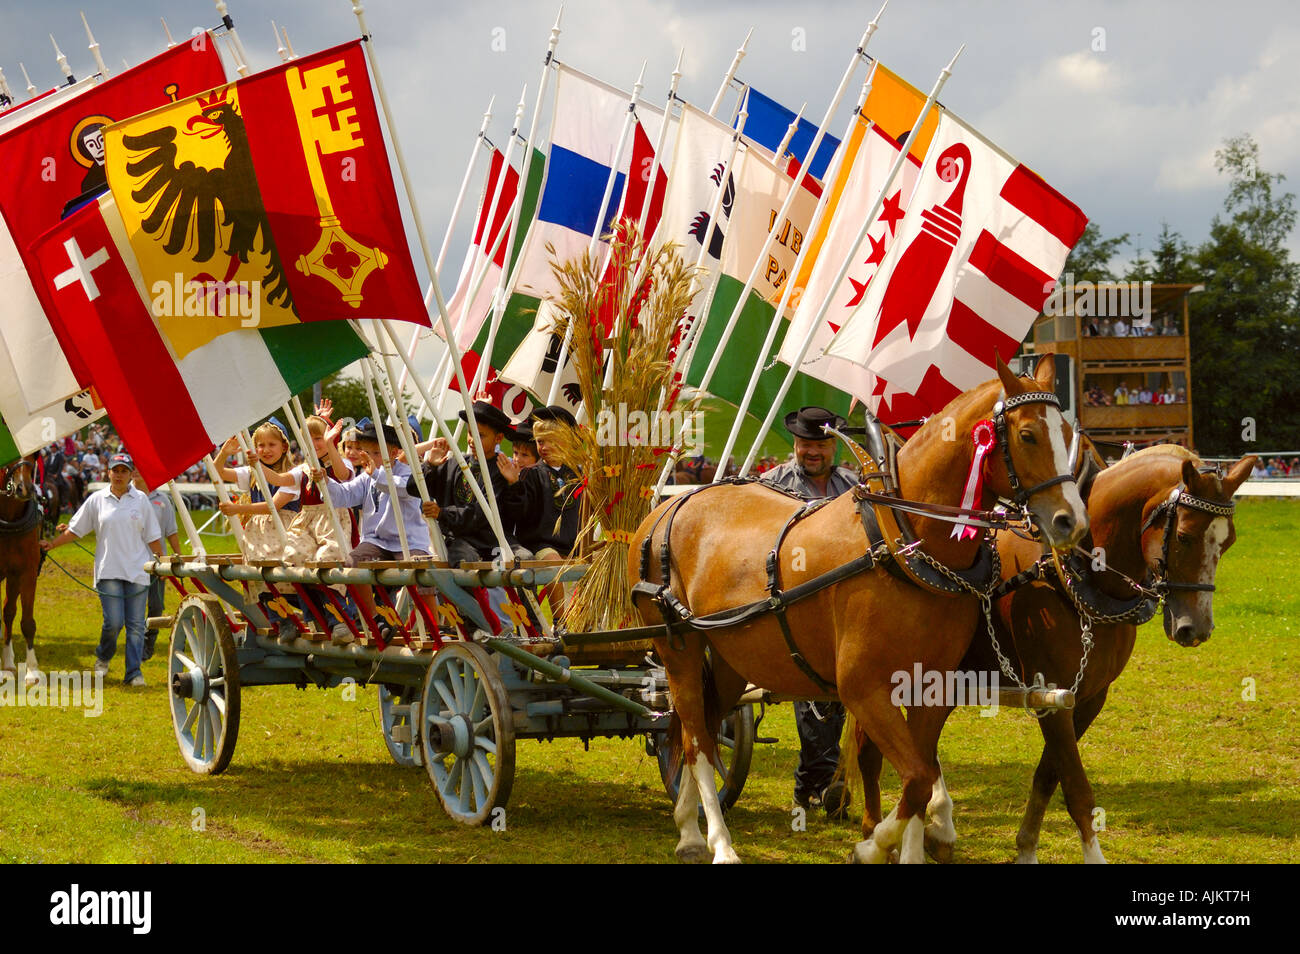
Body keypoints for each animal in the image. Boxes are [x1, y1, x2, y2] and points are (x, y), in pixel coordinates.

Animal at [629, 356, 1086, 863]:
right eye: (1027, 435)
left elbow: (921, 779)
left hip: (730, 657)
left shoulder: (931, 686)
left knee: (705, 730)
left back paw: (688, 827)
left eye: (1068, 433)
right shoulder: (863, 689)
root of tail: (668, 507)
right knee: (695, 741)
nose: (1071, 521)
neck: (897, 536)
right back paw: (718, 842)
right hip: (679, 649)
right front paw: (870, 846)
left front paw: (910, 848)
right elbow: (918, 777)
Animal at [847, 444, 1253, 863]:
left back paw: (933, 827)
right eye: (1185, 537)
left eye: (1229, 542)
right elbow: (1076, 790)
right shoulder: (1053, 696)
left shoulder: (1087, 699)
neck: (1074, 575)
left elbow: (1047, 776)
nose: (1196, 629)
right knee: (873, 751)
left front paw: (1026, 848)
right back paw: (882, 830)